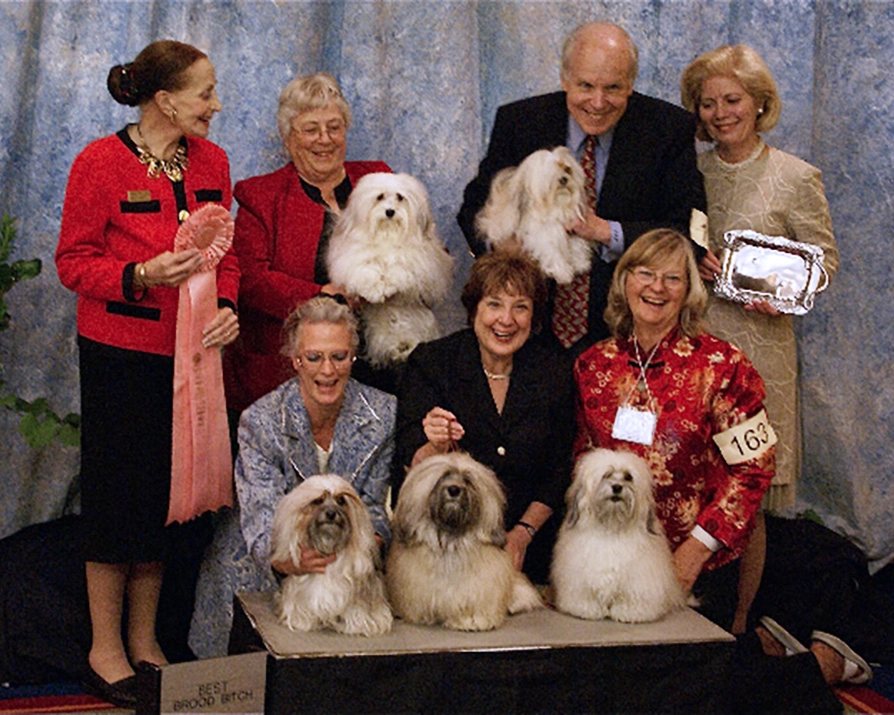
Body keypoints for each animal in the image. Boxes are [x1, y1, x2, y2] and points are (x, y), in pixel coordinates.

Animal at [268, 476, 390, 636]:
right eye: (318, 500)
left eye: (341, 500)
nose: (331, 513)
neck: (328, 542)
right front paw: (301, 622)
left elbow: (356, 609)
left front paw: (356, 625)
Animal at [326, 173, 456, 370]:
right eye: (379, 197)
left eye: (400, 197)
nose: (390, 211)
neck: (387, 235)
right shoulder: (354, 259)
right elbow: (367, 271)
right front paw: (375, 291)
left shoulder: (417, 261)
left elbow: (399, 268)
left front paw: (388, 286)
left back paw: (406, 348)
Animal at [476, 146, 596, 286]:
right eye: (549, 174)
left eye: (567, 169)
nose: (564, 179)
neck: (555, 205)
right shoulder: (542, 236)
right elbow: (552, 253)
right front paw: (563, 273)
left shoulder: (571, 228)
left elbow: (576, 244)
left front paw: (581, 262)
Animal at [552, 450, 688, 624]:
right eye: (606, 475)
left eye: (628, 477)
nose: (617, 487)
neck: (612, 528)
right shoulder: (580, 577)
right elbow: (585, 595)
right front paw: (588, 609)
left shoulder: (639, 580)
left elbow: (632, 599)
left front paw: (629, 612)